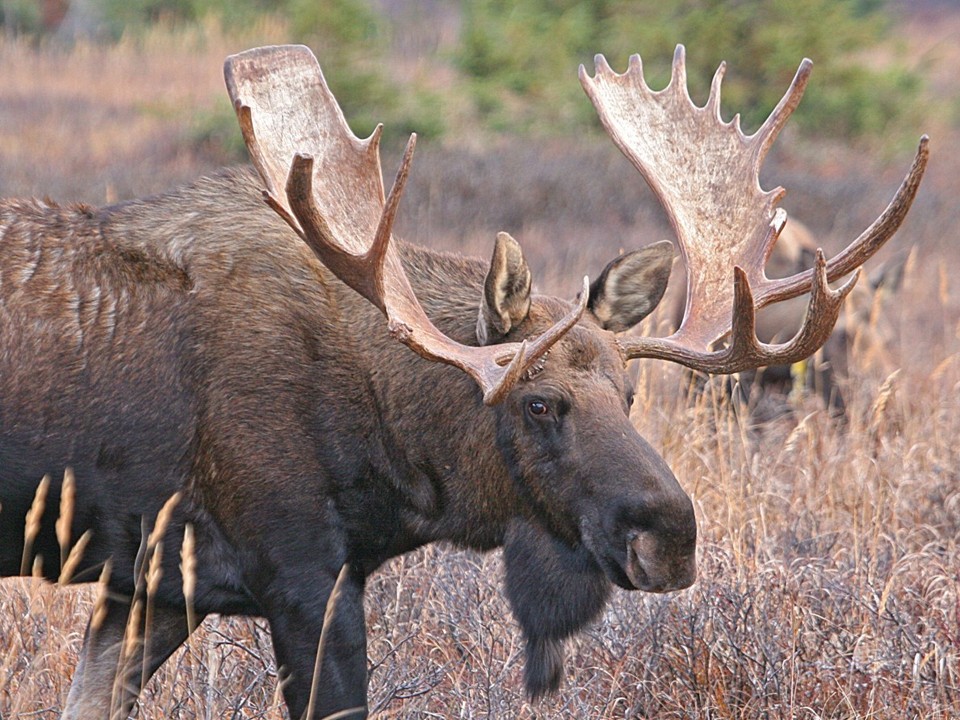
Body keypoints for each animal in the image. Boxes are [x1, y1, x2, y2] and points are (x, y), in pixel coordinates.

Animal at [0, 46, 928, 720]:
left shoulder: (151, 586)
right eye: (540, 402)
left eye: (630, 396)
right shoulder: (301, 575)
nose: (671, 537)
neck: (392, 457)